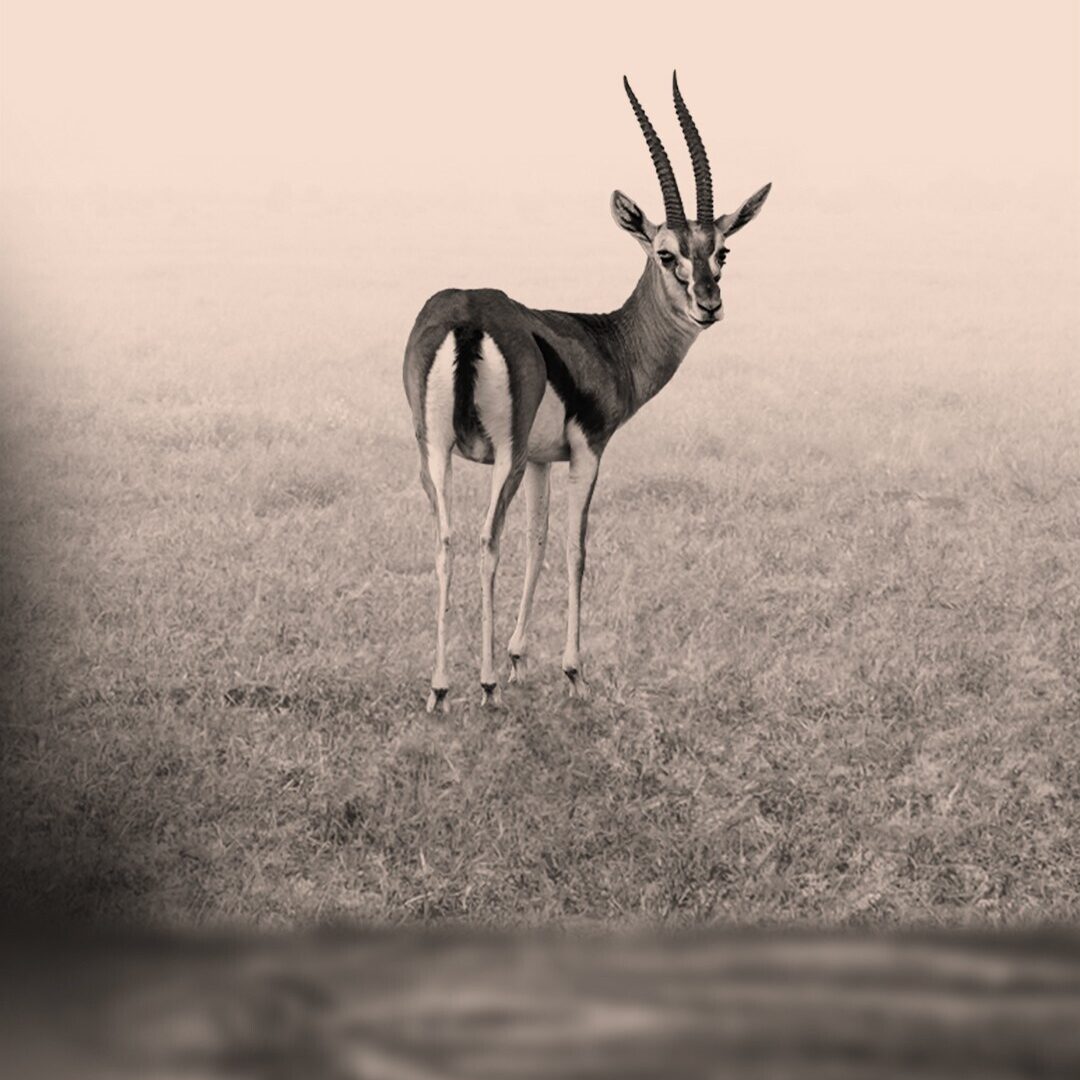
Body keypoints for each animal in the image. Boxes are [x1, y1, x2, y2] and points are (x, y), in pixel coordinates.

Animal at [403, 73, 771, 711]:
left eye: (721, 250)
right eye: (666, 253)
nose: (708, 304)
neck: (606, 342)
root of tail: (467, 315)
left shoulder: (541, 461)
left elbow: (539, 541)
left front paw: (519, 658)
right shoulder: (587, 451)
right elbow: (576, 549)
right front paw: (573, 673)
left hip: (437, 451)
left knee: (447, 541)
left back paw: (441, 689)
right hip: (502, 457)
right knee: (486, 539)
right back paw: (484, 686)